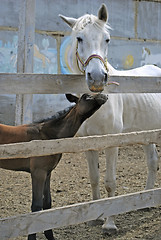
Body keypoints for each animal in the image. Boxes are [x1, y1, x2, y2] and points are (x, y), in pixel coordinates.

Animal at [59, 2, 161, 233]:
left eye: (106, 39)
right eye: (79, 38)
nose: (97, 78)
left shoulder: (112, 143)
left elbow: (110, 182)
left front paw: (109, 224)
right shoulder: (89, 144)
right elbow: (95, 179)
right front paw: (95, 217)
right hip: (146, 134)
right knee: (152, 162)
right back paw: (146, 201)